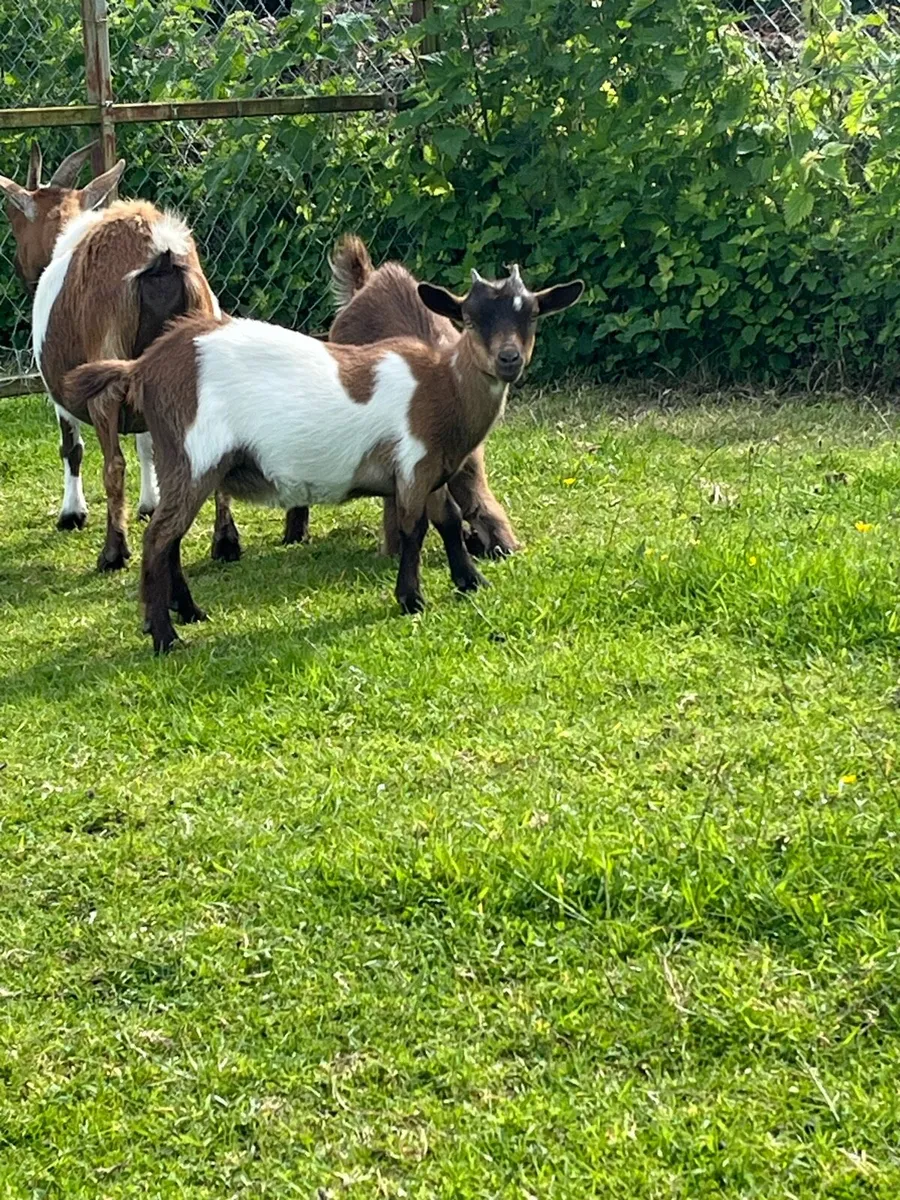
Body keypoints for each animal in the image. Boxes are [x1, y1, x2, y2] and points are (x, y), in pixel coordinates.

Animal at [0, 142, 241, 569]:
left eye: (12, 218)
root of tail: (160, 254)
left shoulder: (60, 388)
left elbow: (72, 447)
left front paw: (72, 514)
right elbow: (147, 444)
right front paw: (150, 504)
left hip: (105, 379)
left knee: (113, 464)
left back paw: (113, 551)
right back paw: (226, 541)